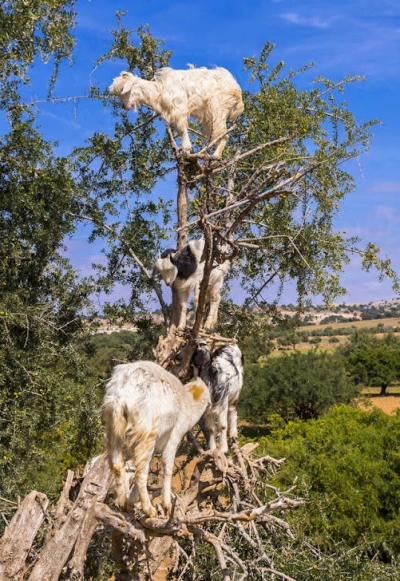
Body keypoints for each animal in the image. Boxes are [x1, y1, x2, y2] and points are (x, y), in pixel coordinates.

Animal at [102, 358, 209, 516]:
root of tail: (124, 391)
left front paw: (131, 502)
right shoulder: (175, 436)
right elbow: (167, 469)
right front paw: (167, 507)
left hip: (114, 427)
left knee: (117, 465)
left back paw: (122, 503)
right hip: (147, 432)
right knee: (140, 472)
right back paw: (149, 510)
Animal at [108, 65, 244, 155]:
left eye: (123, 90)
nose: (124, 106)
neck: (159, 90)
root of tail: (237, 90)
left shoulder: (179, 108)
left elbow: (182, 129)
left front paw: (186, 149)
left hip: (218, 109)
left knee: (224, 135)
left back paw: (215, 157)